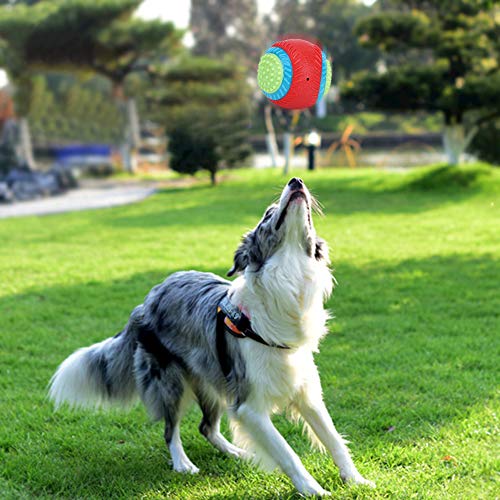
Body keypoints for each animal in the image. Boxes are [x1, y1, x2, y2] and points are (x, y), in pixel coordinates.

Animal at [48, 179, 376, 496]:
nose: (296, 181)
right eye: (267, 215)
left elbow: (333, 439)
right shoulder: (249, 405)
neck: (288, 276)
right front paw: (313, 490)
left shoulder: (305, 391)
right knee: (171, 429)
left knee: (206, 427)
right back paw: (183, 463)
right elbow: (287, 453)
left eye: (308, 216)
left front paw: (356, 480)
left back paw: (238, 453)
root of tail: (148, 298)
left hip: (211, 382)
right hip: (171, 382)